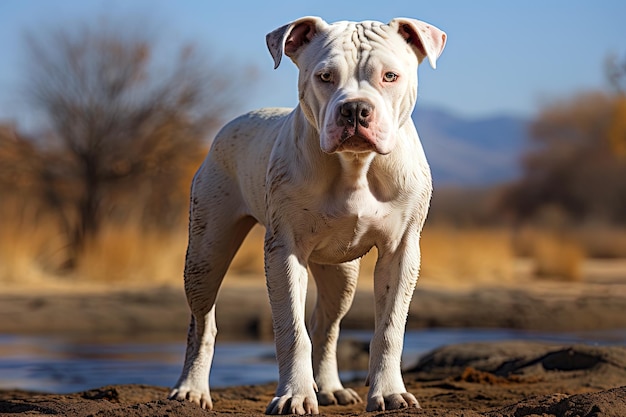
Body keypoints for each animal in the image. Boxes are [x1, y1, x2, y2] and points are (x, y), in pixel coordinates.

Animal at [168, 15, 446, 412]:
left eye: (389, 76)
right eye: (325, 76)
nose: (355, 109)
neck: (355, 165)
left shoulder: (401, 252)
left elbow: (389, 328)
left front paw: (389, 392)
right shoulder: (285, 251)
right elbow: (292, 330)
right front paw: (294, 395)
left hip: (340, 274)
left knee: (326, 325)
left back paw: (329, 387)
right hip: (206, 254)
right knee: (202, 323)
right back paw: (191, 389)